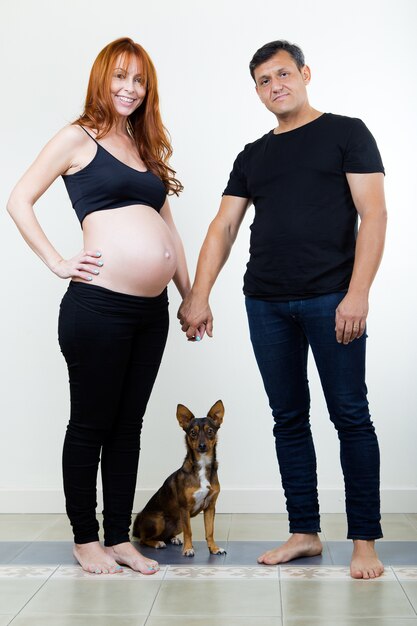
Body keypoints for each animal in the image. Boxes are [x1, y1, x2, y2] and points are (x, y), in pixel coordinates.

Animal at [132, 400, 224, 556]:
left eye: (210, 431)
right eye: (192, 433)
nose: (202, 446)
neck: (202, 464)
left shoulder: (210, 507)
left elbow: (209, 531)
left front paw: (214, 548)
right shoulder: (184, 508)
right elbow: (189, 532)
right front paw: (188, 549)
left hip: (179, 521)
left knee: (166, 535)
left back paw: (173, 539)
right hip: (160, 520)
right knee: (143, 540)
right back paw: (157, 543)